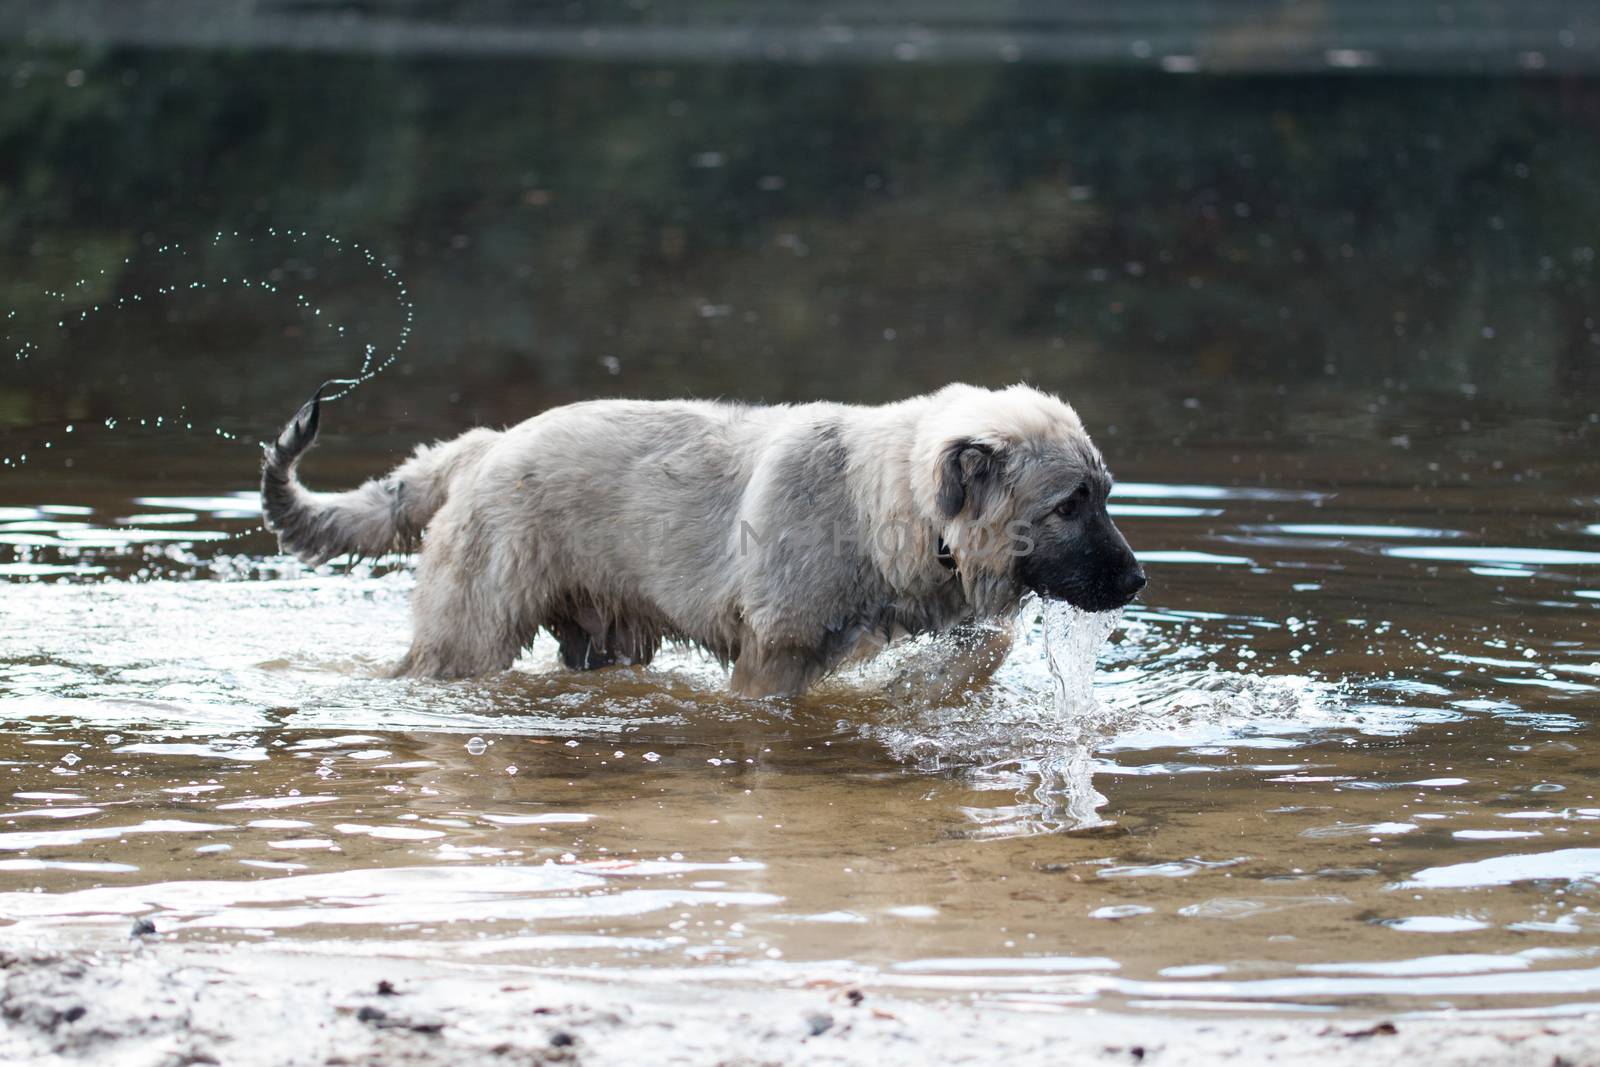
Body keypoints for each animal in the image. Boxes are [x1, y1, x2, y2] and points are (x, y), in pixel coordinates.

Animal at [259, 379, 1139, 697]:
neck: (888, 505)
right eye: (1070, 504)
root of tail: (482, 446)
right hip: (468, 635)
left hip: (603, 638)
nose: (1137, 583)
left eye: (1104, 497)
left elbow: (976, 649)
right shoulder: (773, 658)